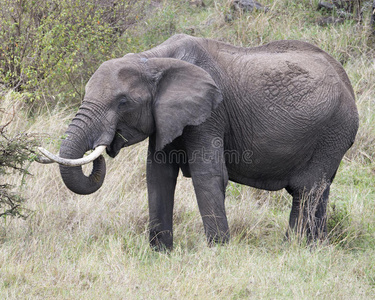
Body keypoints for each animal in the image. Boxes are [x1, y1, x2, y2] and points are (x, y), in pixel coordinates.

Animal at [39, 34, 360, 251]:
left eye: (122, 102)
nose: (102, 148)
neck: (152, 59)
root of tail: (346, 81)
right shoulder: (167, 116)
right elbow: (158, 175)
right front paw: (160, 253)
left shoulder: (210, 114)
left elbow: (209, 174)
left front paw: (219, 250)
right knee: (320, 189)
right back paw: (315, 248)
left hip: (333, 128)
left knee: (306, 189)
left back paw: (292, 249)